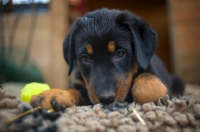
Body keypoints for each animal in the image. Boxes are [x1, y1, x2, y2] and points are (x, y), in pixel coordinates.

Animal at [31, 8, 184, 111]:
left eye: (120, 53)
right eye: (85, 58)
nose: (106, 99)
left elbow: (147, 79)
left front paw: (158, 98)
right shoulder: (82, 85)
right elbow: (74, 89)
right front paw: (53, 94)